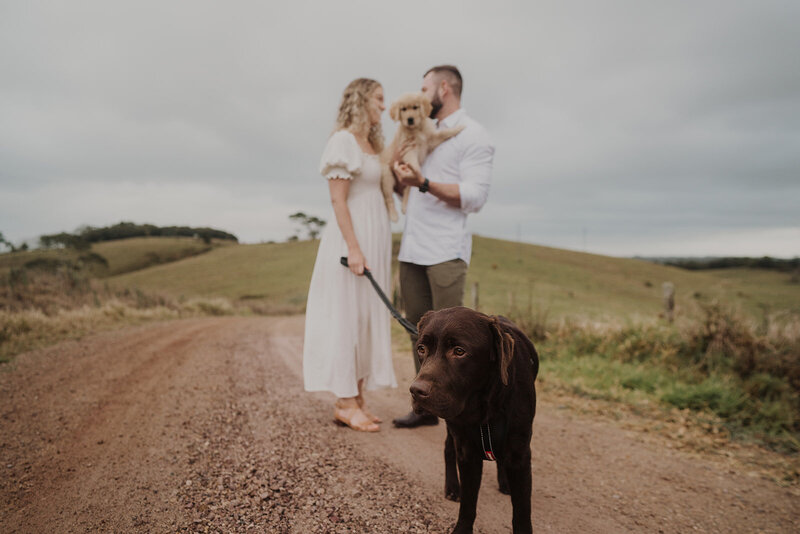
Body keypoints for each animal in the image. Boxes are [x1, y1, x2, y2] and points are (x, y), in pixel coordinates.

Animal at [382, 92, 466, 222]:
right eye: (403, 109)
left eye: (415, 107)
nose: (410, 119)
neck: (417, 129)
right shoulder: (409, 149)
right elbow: (414, 163)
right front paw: (416, 171)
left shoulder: (431, 139)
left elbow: (443, 133)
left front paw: (459, 128)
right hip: (387, 176)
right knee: (388, 198)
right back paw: (394, 215)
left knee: (407, 189)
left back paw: (405, 206)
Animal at [410, 308, 540, 534]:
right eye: (421, 348)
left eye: (459, 351)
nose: (416, 391)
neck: (485, 406)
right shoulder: (467, 451)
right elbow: (468, 503)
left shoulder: (519, 453)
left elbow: (522, 511)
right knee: (448, 449)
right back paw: (453, 487)